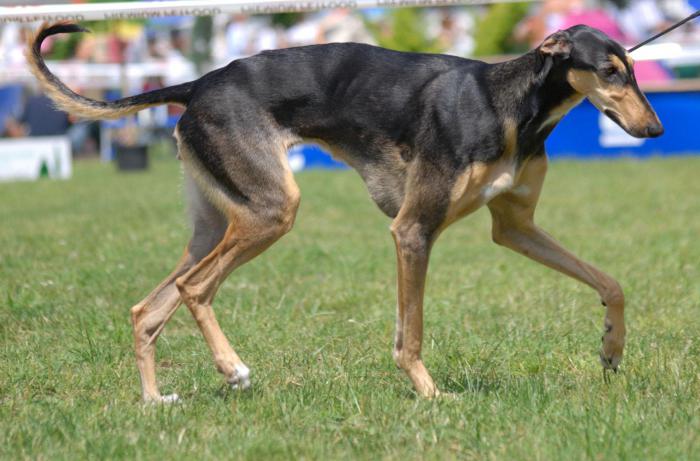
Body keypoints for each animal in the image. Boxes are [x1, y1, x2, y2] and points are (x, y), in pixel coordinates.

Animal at [27, 21, 660, 398]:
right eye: (609, 72)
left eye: (632, 70)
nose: (653, 130)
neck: (510, 105)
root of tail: (199, 82)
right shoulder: (413, 230)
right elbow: (412, 335)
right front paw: (430, 394)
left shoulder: (516, 227)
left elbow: (612, 284)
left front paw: (611, 348)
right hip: (270, 211)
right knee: (193, 289)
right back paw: (233, 369)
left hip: (217, 223)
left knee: (147, 308)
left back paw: (156, 402)